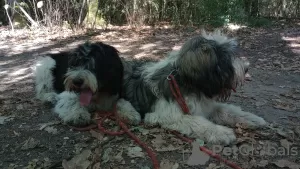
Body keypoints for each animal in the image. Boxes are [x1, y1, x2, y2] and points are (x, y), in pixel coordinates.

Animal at [118, 29, 266, 145]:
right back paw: (129, 113)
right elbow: (196, 122)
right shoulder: (166, 115)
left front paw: (252, 118)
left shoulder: (207, 106)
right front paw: (221, 132)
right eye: (224, 59)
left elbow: (228, 110)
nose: (246, 69)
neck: (185, 81)